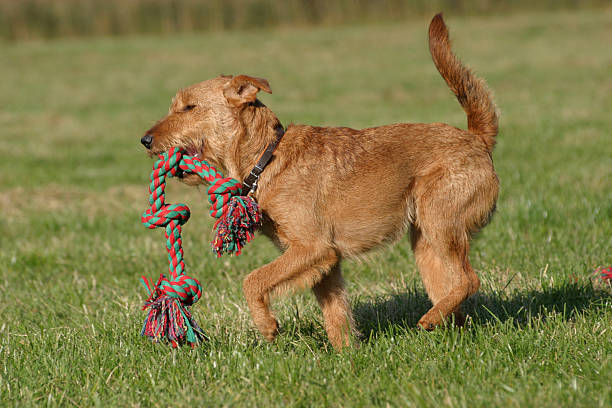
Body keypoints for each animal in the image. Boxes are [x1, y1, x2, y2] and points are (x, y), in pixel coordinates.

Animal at [142, 14, 498, 350]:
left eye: (189, 107)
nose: (144, 140)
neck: (267, 159)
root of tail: (476, 138)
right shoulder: (324, 262)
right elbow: (336, 314)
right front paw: (346, 356)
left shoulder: (312, 247)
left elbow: (253, 280)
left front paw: (267, 326)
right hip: (425, 244)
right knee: (455, 295)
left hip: (440, 223)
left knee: (469, 280)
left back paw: (429, 320)